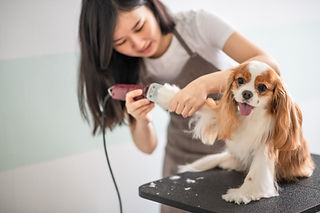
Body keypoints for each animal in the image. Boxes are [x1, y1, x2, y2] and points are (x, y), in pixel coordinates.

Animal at [158, 60, 316, 204]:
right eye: (240, 80)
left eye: (262, 87)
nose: (246, 93)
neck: (251, 116)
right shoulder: (221, 115)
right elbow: (207, 107)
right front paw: (168, 95)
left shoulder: (266, 144)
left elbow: (255, 173)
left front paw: (242, 194)